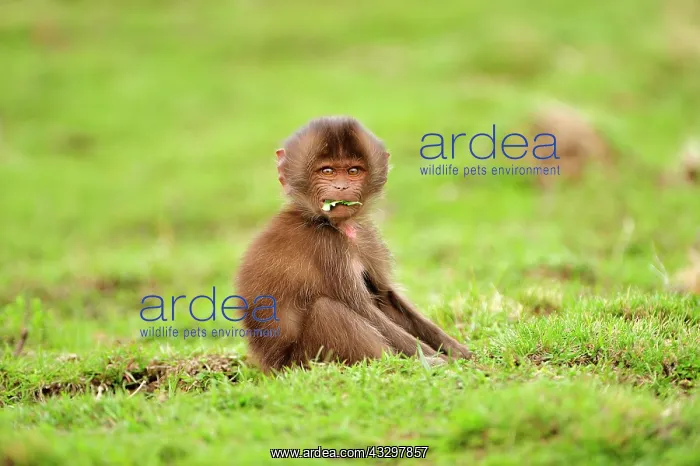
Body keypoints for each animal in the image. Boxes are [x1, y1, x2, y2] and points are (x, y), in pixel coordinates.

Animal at [235, 116, 473, 372]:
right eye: (327, 171)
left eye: (353, 171)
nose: (341, 187)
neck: (327, 223)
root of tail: (271, 366)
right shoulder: (327, 248)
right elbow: (363, 309)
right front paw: (442, 361)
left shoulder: (366, 236)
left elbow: (385, 297)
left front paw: (459, 352)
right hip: (301, 361)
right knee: (327, 309)